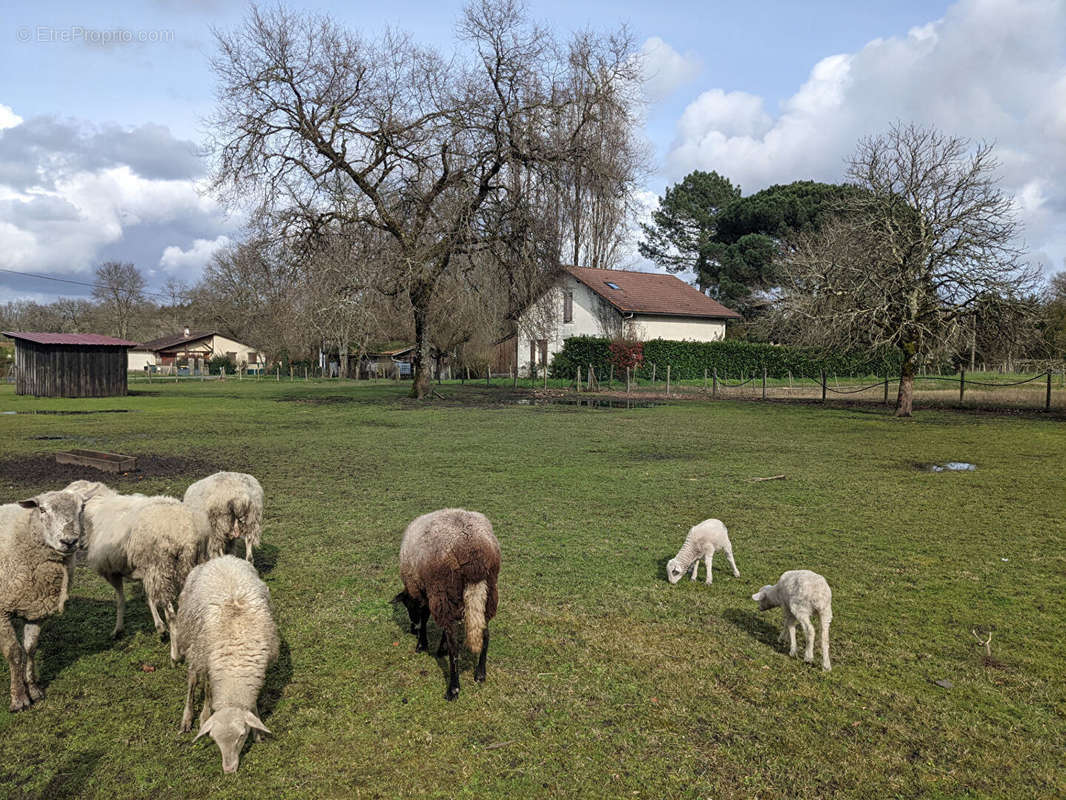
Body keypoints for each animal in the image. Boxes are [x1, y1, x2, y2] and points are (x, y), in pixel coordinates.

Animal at [67, 480, 208, 644]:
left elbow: (120, 600)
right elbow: (149, 597)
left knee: (172, 616)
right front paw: (159, 627)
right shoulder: (143, 569)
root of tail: (185, 534)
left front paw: (118, 629)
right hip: (187, 566)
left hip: (161, 567)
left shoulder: (112, 571)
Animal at [173, 554, 279, 772]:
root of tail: (221, 557)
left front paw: (258, 729)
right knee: (193, 680)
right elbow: (207, 690)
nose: (229, 770)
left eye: (242, 735)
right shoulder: (208, 661)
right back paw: (188, 717)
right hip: (192, 642)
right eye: (214, 739)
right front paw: (204, 716)